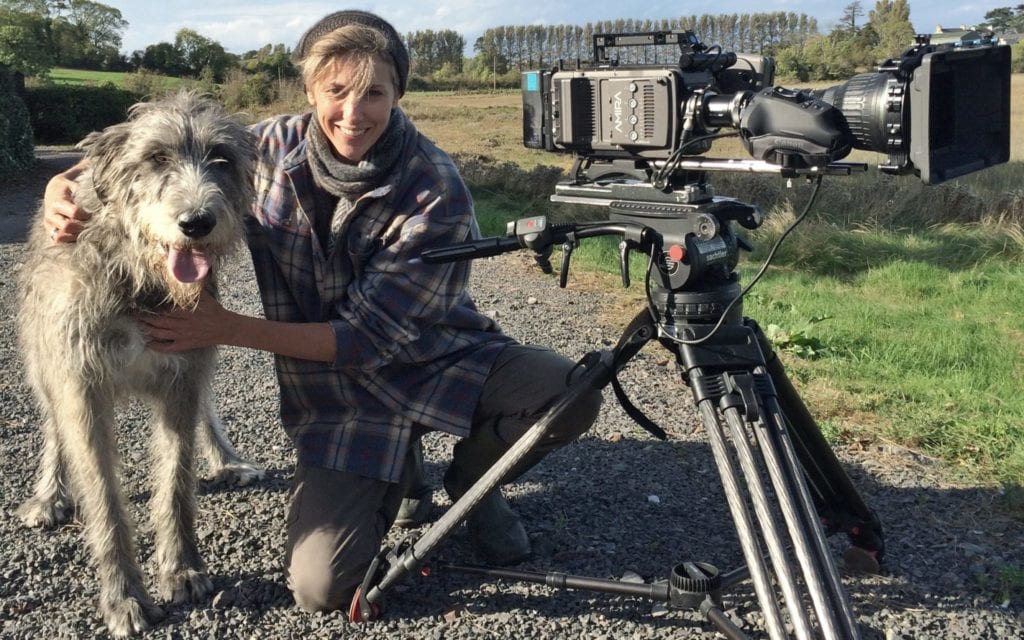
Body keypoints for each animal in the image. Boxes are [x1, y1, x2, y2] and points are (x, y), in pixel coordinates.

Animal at [17, 90, 264, 634]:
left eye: (222, 158)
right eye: (155, 158)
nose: (196, 222)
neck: (139, 279)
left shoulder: (183, 373)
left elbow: (175, 480)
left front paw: (183, 569)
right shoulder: (81, 385)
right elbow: (104, 499)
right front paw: (123, 596)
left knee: (207, 409)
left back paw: (227, 460)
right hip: (43, 357)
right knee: (51, 426)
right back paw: (48, 495)